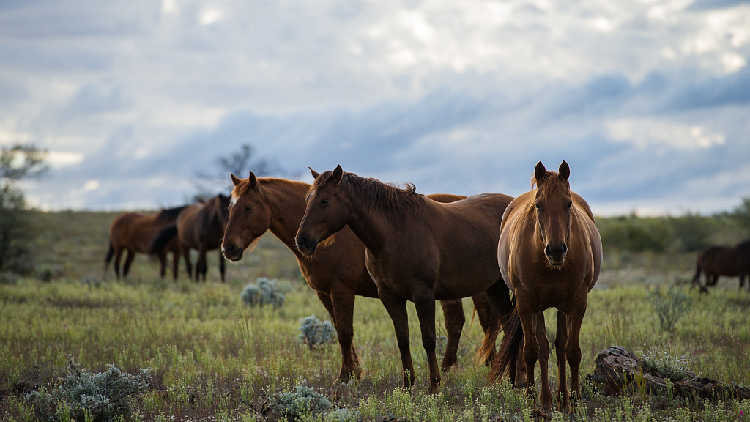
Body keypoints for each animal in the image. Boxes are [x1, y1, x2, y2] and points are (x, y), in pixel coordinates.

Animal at [223, 171, 506, 382]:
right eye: (229, 207)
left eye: (248, 207)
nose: (228, 248)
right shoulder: (324, 292)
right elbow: (340, 330)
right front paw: (354, 371)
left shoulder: (341, 290)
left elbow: (345, 333)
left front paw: (347, 376)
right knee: (466, 322)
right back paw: (463, 367)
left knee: (482, 322)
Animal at [296, 165, 520, 392]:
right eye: (308, 198)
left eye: (325, 200)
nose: (302, 240)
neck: (395, 234)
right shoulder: (390, 297)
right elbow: (402, 340)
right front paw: (407, 385)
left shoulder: (424, 295)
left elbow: (428, 340)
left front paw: (434, 385)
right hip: (495, 289)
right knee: (510, 329)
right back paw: (512, 379)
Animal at [488, 160, 604, 414]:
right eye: (538, 205)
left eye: (568, 203)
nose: (556, 250)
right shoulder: (525, 304)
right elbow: (531, 351)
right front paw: (533, 401)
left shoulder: (577, 303)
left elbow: (572, 351)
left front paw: (575, 401)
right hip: (538, 307)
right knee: (542, 346)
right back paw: (546, 399)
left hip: (561, 306)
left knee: (560, 346)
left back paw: (561, 398)